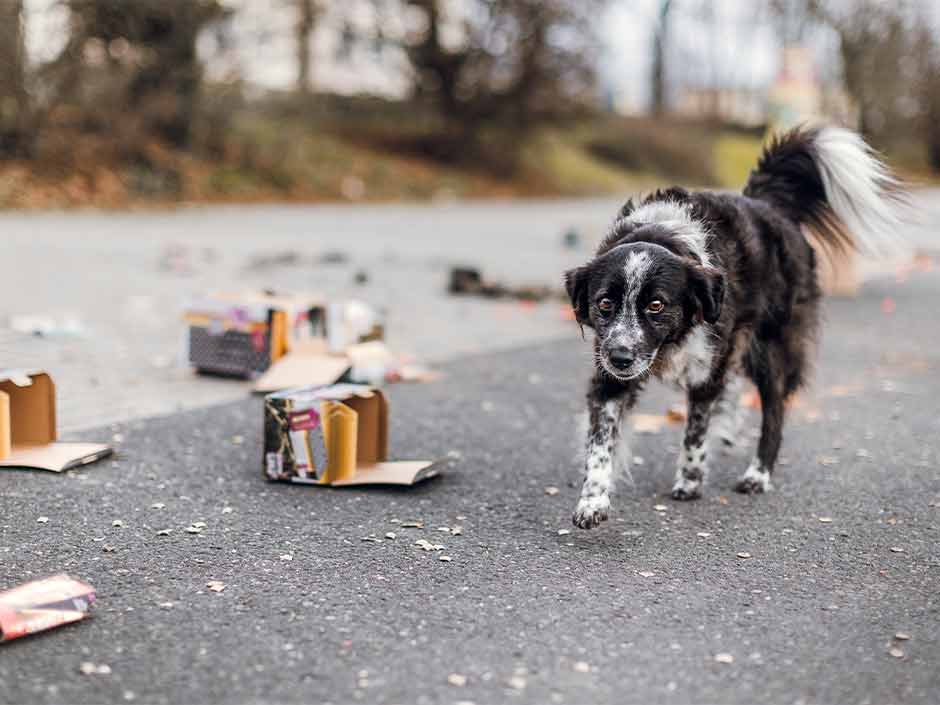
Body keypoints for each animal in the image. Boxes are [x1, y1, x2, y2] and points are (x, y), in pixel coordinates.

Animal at [564, 126, 904, 528]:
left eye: (656, 305)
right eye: (605, 303)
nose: (620, 358)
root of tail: (767, 203)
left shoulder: (706, 369)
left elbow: (695, 432)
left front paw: (690, 480)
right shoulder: (610, 377)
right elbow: (600, 443)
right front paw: (593, 500)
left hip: (770, 351)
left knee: (774, 414)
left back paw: (757, 474)